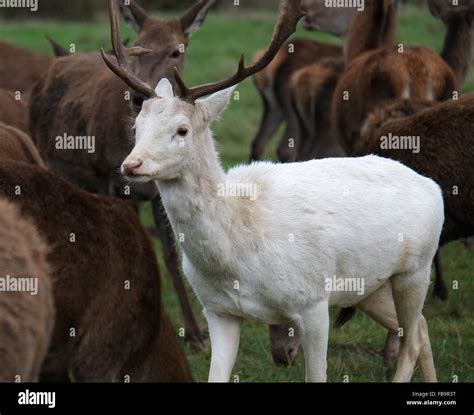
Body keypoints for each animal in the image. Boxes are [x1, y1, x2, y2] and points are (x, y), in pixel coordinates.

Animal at [29, 0, 215, 348]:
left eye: (176, 50)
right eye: (137, 45)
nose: (139, 97)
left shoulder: (157, 192)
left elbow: (170, 256)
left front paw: (195, 333)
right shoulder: (110, 181)